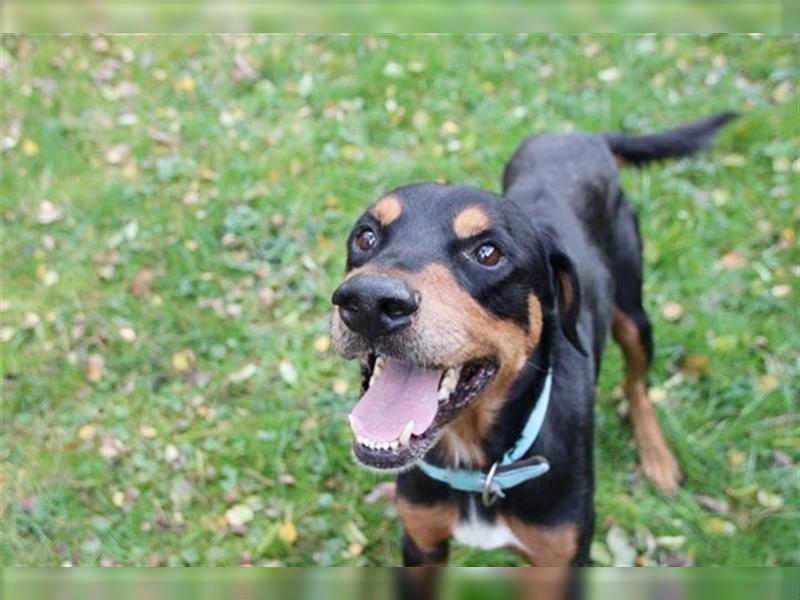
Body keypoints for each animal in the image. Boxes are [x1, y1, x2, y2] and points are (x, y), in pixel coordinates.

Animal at [330, 112, 736, 568]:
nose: (368, 302)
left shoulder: (561, 556)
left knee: (637, 384)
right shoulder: (421, 541)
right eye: (365, 236)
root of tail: (582, 137)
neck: (480, 465)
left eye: (489, 253)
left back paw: (657, 456)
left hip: (634, 312)